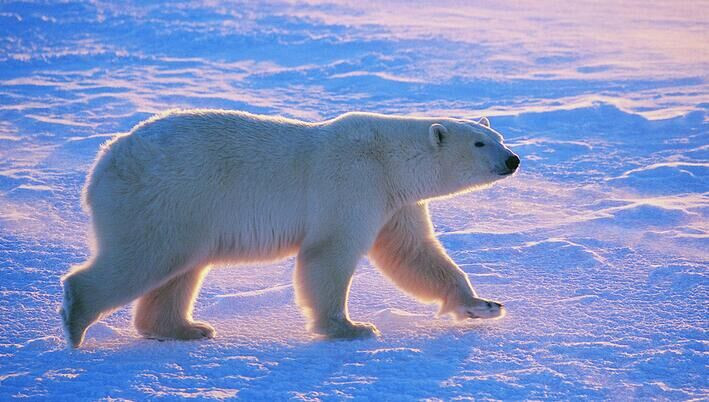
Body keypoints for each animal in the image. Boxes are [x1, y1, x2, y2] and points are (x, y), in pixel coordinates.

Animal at [60, 110, 516, 348]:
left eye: (498, 135)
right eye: (480, 143)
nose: (513, 159)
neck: (390, 158)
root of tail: (103, 163)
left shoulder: (395, 202)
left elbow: (415, 252)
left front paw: (484, 304)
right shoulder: (354, 183)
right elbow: (329, 253)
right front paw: (350, 328)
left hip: (185, 211)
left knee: (180, 268)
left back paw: (187, 329)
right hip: (166, 197)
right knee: (144, 257)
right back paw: (76, 321)